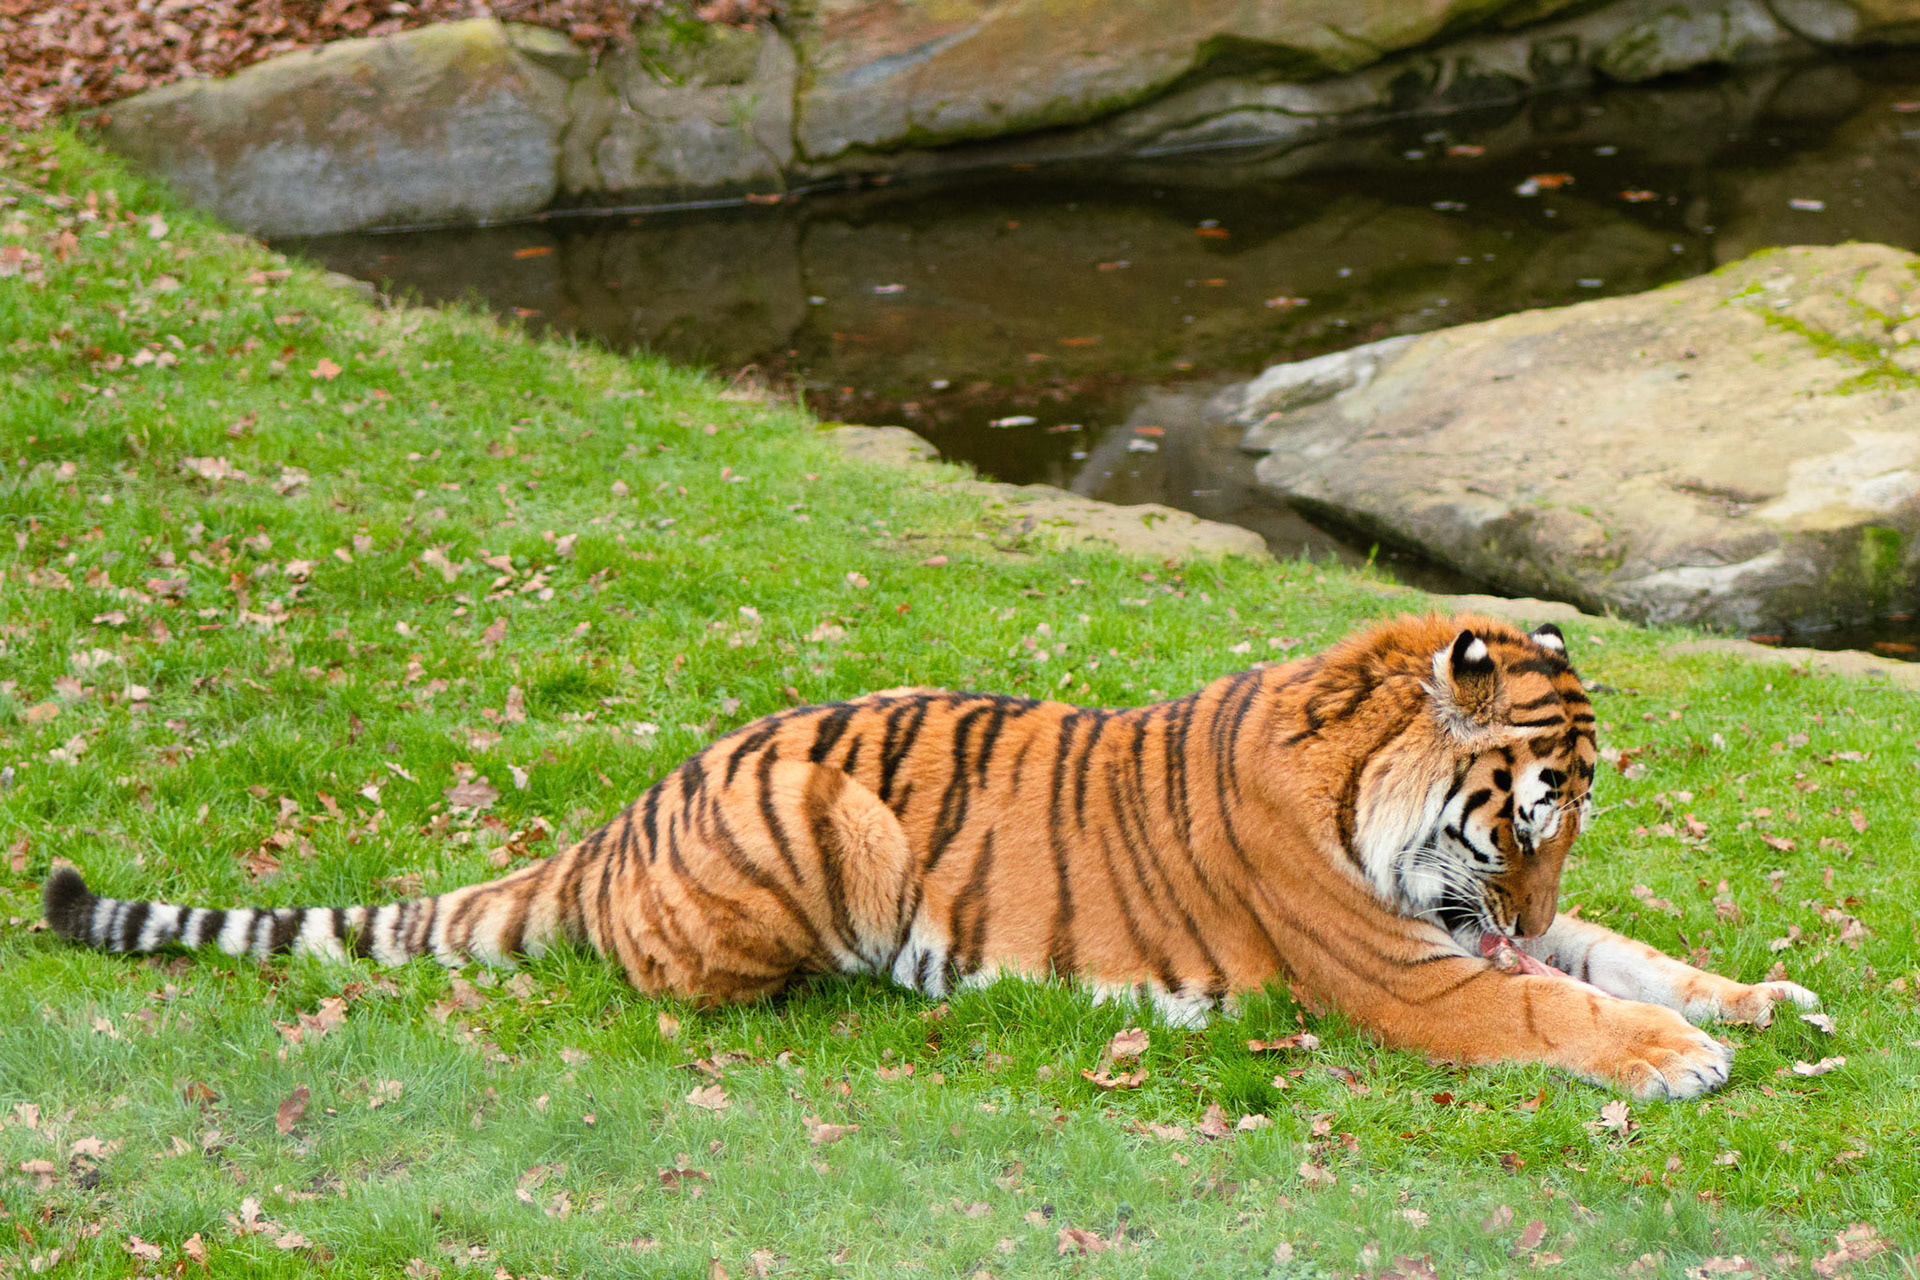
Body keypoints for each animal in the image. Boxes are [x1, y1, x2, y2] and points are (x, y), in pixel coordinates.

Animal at [43, 612, 1817, 1099]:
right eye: (1529, 819)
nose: (1525, 898)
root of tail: (619, 819)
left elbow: (1628, 957)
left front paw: (1766, 1002)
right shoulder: (1409, 970)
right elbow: (1550, 1002)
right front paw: (1680, 1059)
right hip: (825, 817)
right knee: (683, 986)